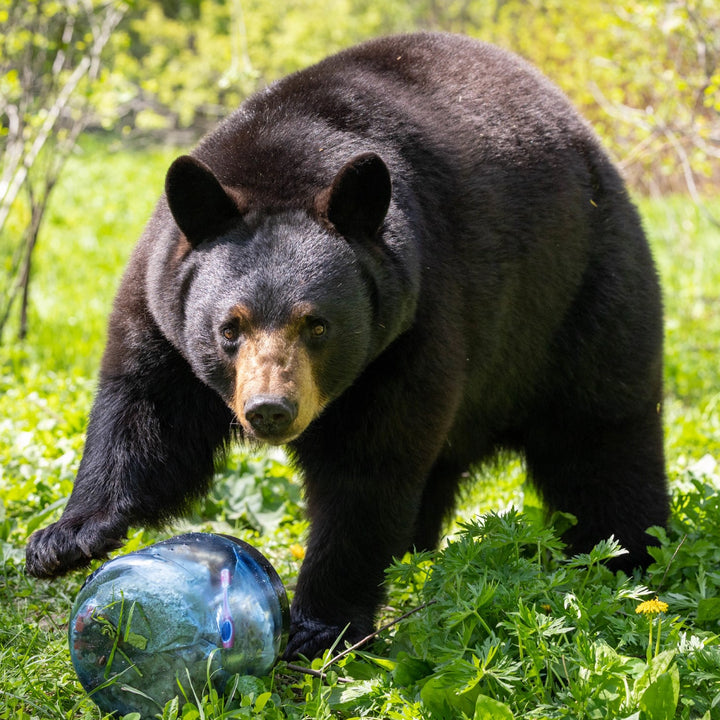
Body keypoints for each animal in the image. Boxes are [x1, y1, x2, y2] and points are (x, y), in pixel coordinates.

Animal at [26, 32, 668, 659]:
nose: (270, 410)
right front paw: (64, 539)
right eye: (229, 328)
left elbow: (367, 473)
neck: (288, 154)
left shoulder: (411, 326)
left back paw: (626, 560)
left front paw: (319, 627)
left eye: (318, 326)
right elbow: (147, 416)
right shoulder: (162, 308)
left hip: (578, 298)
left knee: (602, 441)